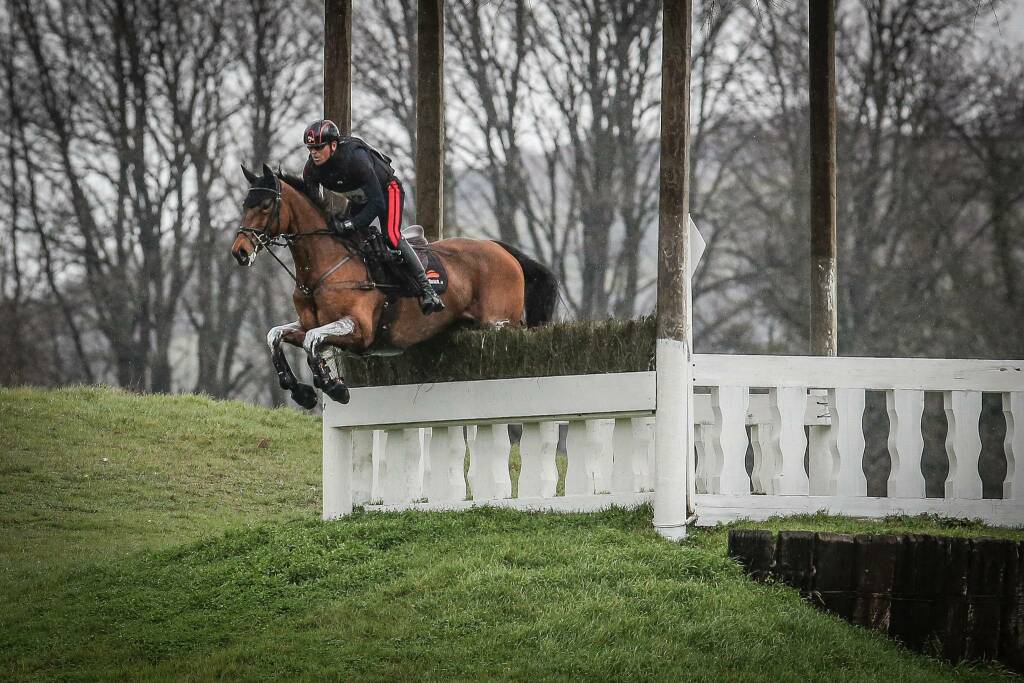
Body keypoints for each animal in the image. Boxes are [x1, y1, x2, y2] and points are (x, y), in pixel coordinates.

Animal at [230, 162, 561, 409]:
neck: (324, 268)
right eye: (245, 204)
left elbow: (313, 341)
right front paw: (301, 391)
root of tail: (500, 249)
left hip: (500, 323)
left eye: (265, 205)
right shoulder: (308, 323)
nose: (240, 252)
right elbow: (275, 336)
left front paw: (333, 386)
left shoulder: (359, 329)